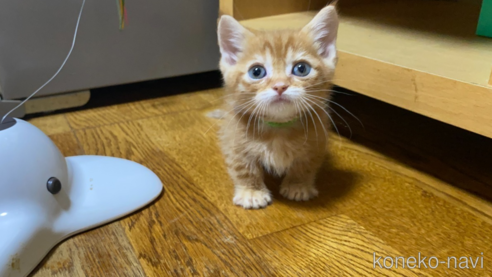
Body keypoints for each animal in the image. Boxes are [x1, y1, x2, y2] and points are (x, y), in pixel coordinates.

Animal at [216, 4, 338, 208]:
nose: (280, 86)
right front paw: (251, 191)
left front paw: (298, 185)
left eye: (301, 69)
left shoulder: (317, 140)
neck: (278, 129)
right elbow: (243, 166)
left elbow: (306, 164)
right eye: (256, 72)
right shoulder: (234, 138)